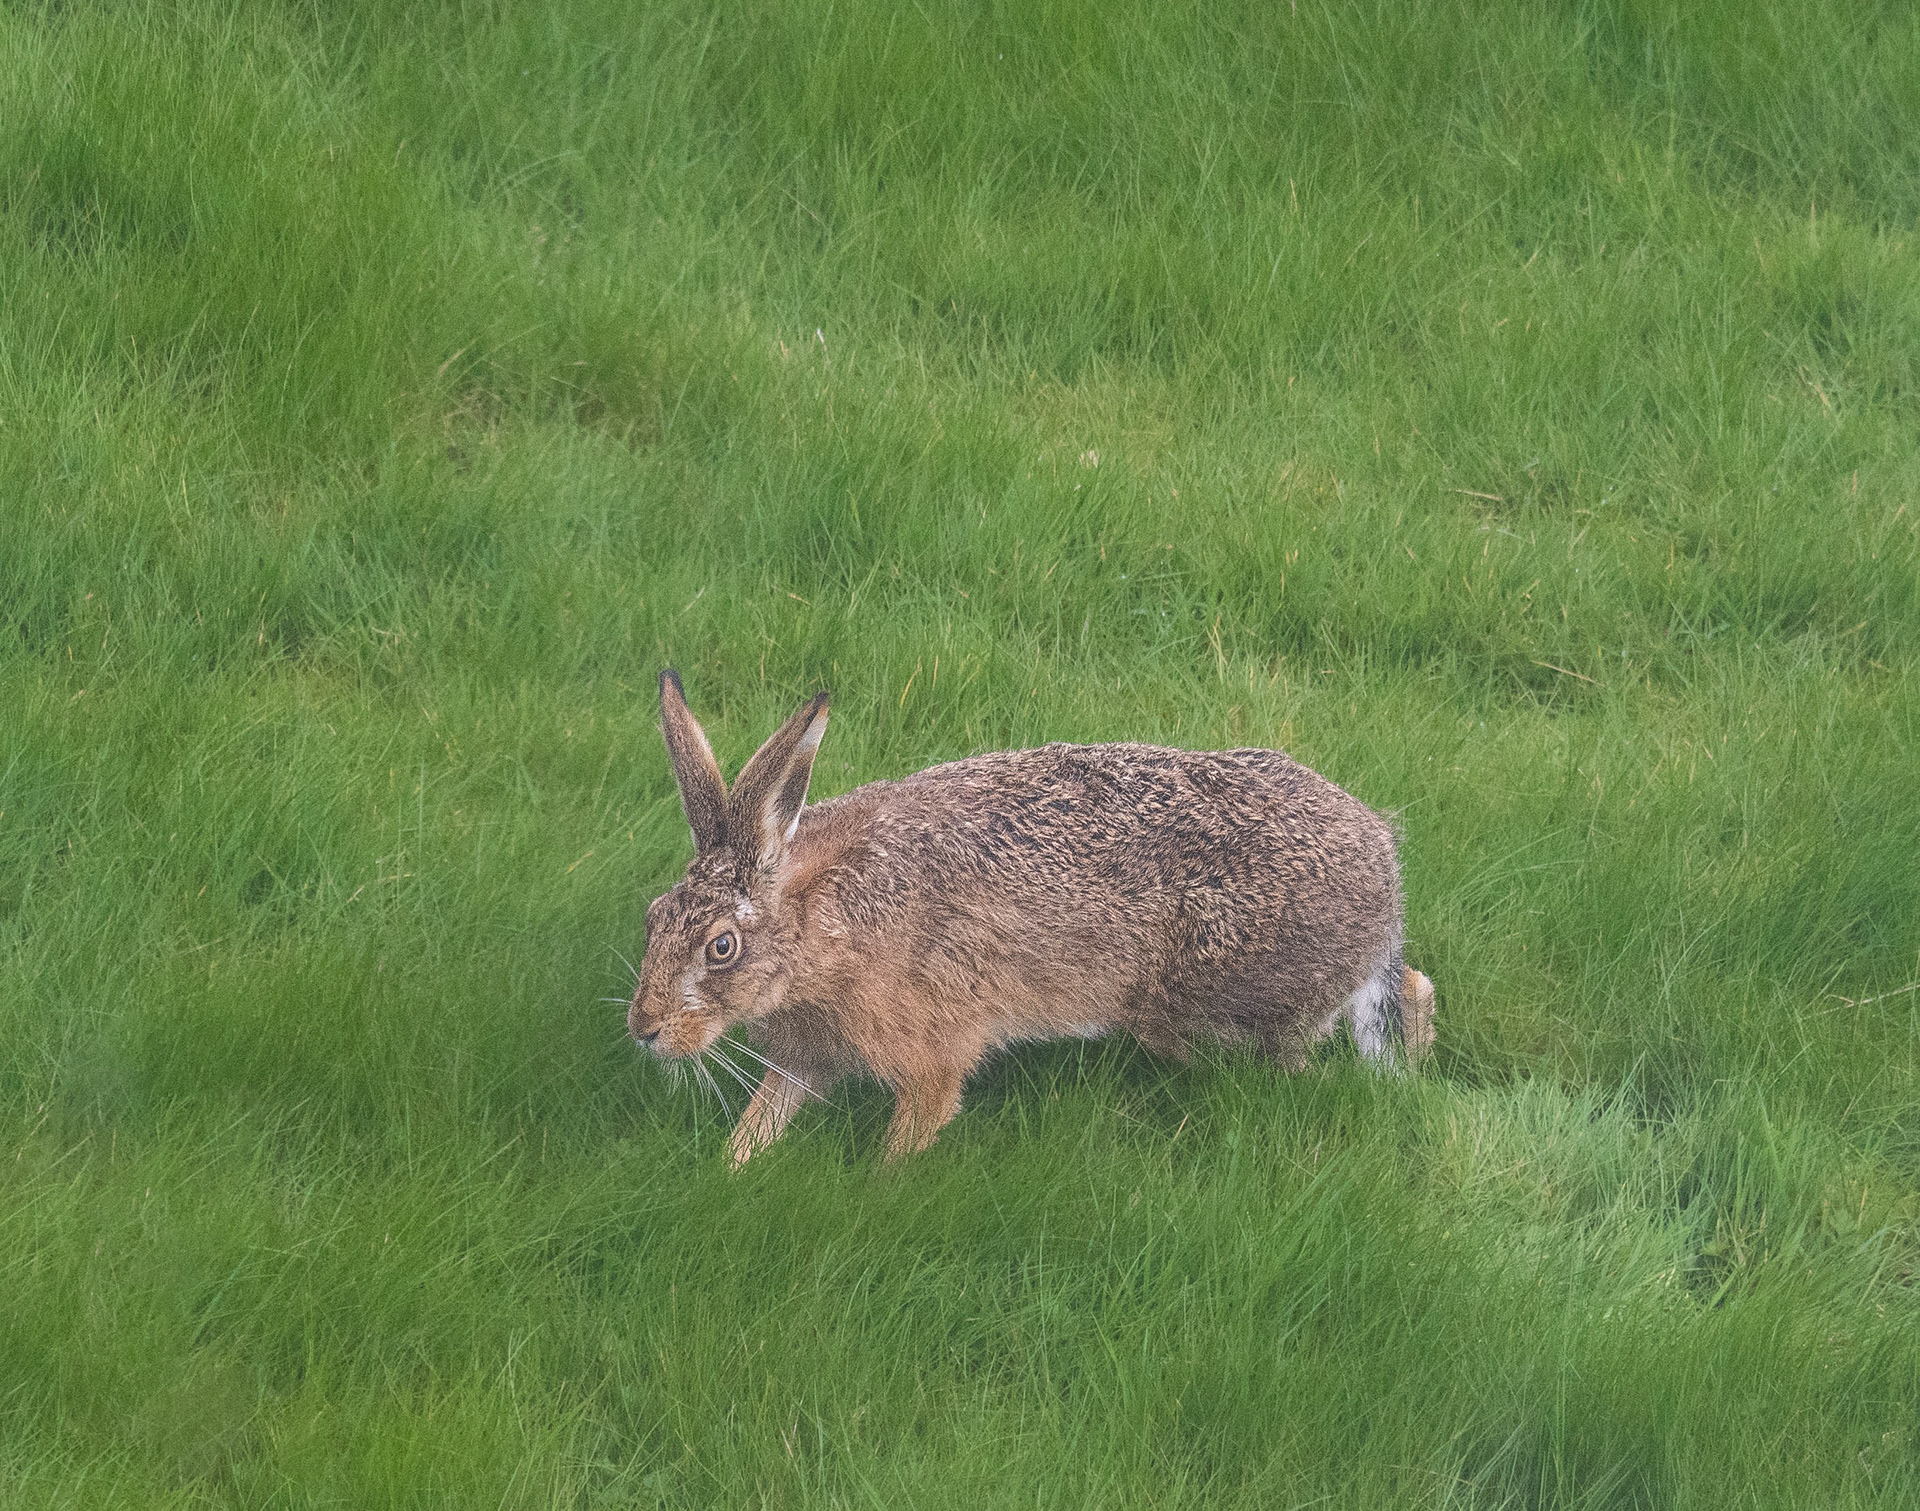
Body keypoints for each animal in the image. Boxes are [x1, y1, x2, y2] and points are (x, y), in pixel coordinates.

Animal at [627, 670, 1434, 1165]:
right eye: (653, 917)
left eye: (721, 946)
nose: (644, 1030)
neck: (816, 927)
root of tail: (1386, 868)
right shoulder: (807, 1053)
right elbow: (766, 1114)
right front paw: (731, 1168)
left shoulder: (934, 1047)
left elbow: (921, 1116)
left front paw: (877, 1186)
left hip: (1224, 1005)